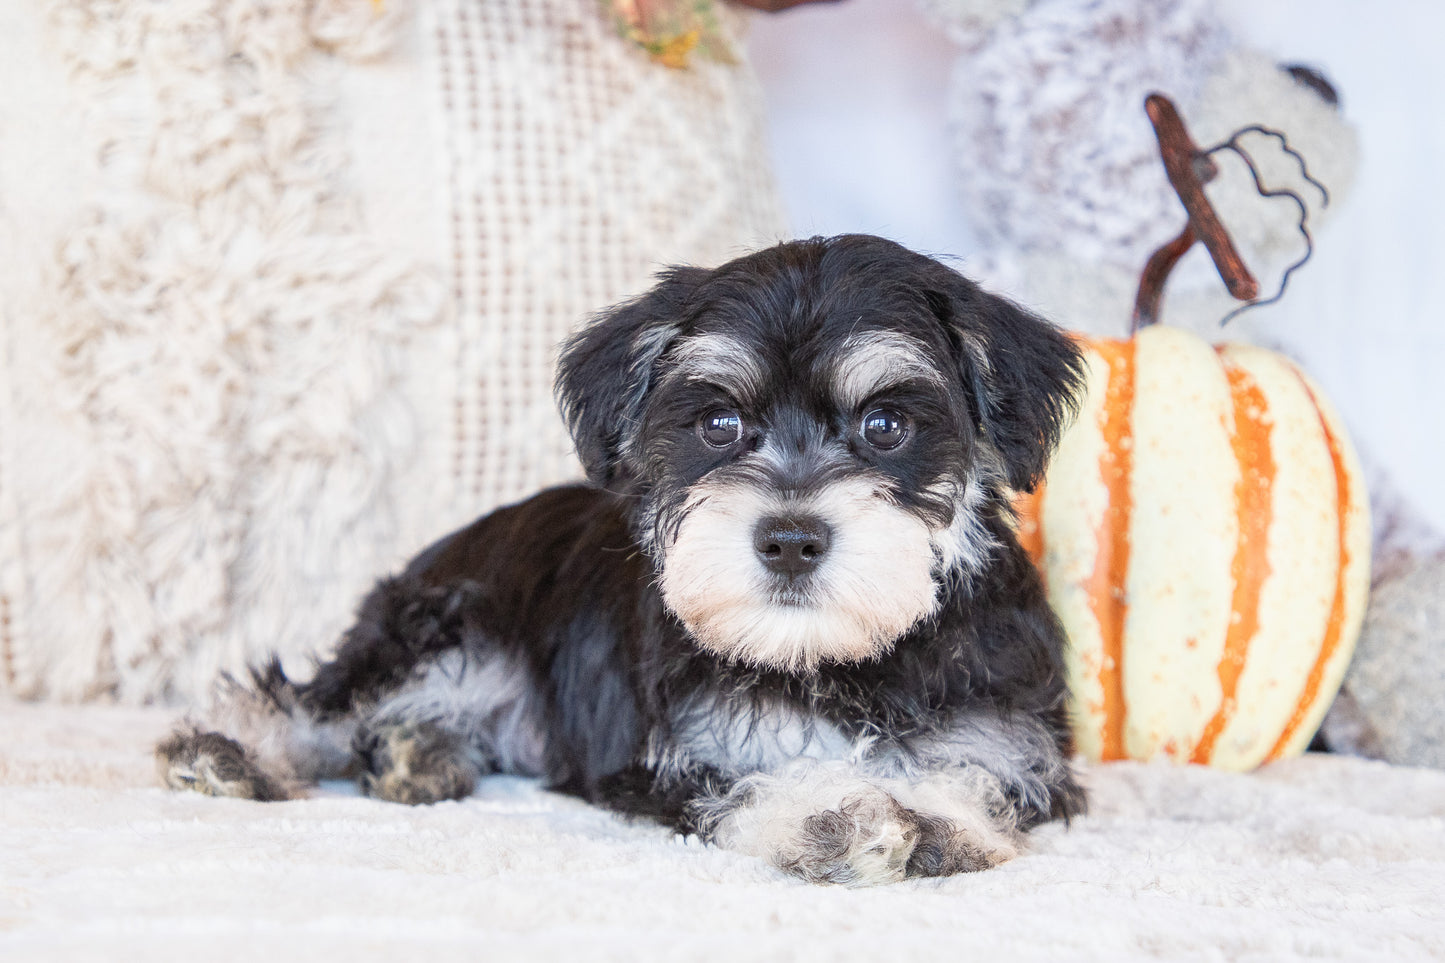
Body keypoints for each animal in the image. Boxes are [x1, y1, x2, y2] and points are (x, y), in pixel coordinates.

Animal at [158, 234, 1086, 884]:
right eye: (718, 423)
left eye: (886, 424)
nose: (788, 539)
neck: (840, 659)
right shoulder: (680, 758)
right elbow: (753, 784)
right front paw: (832, 813)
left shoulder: (1017, 744)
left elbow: (975, 776)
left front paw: (937, 818)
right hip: (443, 630)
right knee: (315, 704)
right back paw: (227, 751)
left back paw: (415, 758)